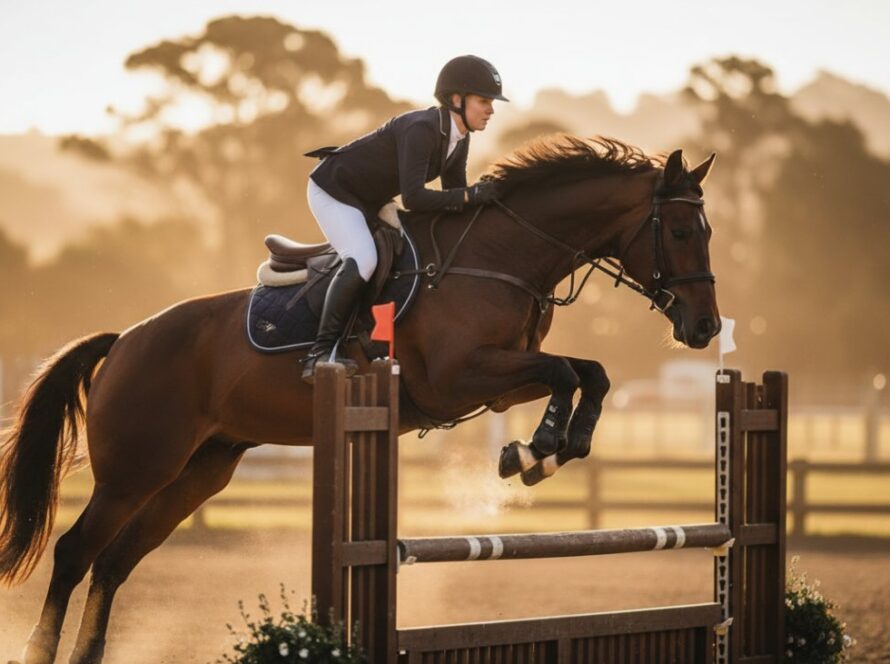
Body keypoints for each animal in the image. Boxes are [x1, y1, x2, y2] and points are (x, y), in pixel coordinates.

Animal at [0, 136, 719, 664]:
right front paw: (537, 449)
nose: (706, 327)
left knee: (114, 562)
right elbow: (569, 372)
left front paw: (549, 450)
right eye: (684, 232)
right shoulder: (459, 377)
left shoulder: (500, 382)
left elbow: (586, 373)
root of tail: (123, 340)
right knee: (76, 553)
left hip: (198, 472)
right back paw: (40, 650)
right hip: (136, 469)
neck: (498, 255)